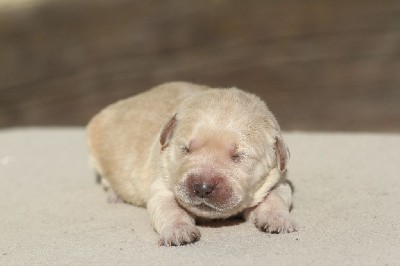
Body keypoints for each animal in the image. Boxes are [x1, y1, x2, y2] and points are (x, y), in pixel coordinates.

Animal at [88, 81, 300, 245]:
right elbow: (170, 209)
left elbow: (275, 198)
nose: (202, 188)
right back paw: (115, 195)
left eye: (238, 156)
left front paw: (278, 220)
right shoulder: (162, 185)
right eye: (185, 149)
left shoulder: (278, 180)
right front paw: (178, 231)